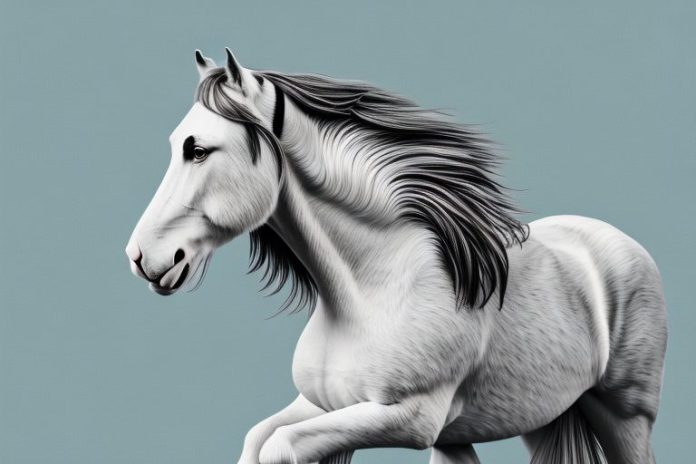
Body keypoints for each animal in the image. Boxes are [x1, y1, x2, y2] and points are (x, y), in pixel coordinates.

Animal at [125, 49, 667, 464]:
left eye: (198, 150)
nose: (142, 256)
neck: (373, 290)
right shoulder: (325, 405)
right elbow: (259, 438)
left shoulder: (406, 418)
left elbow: (280, 446)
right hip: (532, 417)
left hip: (625, 414)